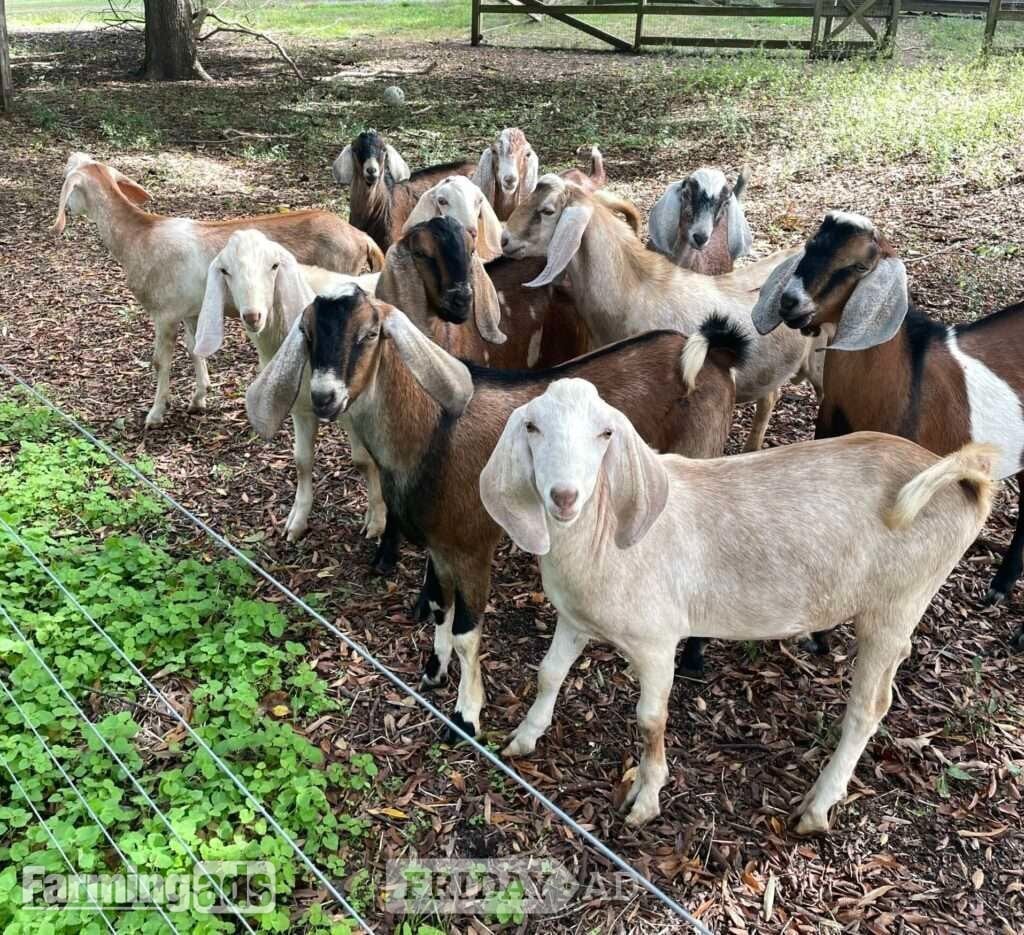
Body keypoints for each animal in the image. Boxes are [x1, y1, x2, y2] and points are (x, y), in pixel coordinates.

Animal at [52, 152, 382, 428]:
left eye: (68, 177)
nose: (66, 211)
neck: (141, 238)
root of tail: (362, 238)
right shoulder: (190, 310)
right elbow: (195, 349)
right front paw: (199, 399)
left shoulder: (164, 313)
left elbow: (160, 361)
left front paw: (155, 414)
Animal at [193, 229, 385, 543]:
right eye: (225, 271)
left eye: (274, 266)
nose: (253, 316)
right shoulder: (301, 408)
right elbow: (302, 460)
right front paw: (297, 521)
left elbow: (364, 460)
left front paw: (377, 519)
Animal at [245, 290, 746, 737]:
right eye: (308, 334)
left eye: (370, 333)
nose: (324, 397)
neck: (431, 432)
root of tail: (710, 355)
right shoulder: (441, 545)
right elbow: (440, 608)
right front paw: (433, 670)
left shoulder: (472, 546)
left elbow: (467, 632)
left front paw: (465, 716)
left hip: (700, 457)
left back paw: (694, 658)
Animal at [481, 378, 995, 831]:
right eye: (532, 427)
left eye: (606, 433)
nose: (565, 497)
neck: (603, 538)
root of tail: (965, 483)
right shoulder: (574, 618)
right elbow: (549, 673)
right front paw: (523, 737)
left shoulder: (656, 640)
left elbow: (650, 720)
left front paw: (645, 800)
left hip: (896, 600)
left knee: (868, 707)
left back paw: (816, 807)